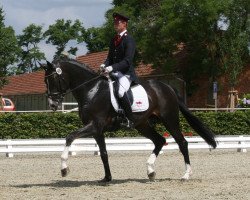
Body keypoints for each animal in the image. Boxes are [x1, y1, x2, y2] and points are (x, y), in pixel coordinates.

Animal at [42, 59, 216, 183]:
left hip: (169, 119)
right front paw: (107, 178)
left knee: (182, 143)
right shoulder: (97, 131)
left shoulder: (94, 125)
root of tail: (168, 87)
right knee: (159, 140)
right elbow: (103, 153)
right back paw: (150, 171)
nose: (52, 105)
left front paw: (64, 169)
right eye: (45, 81)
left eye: (54, 79)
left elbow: (70, 137)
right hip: (142, 124)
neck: (92, 90)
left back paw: (186, 175)